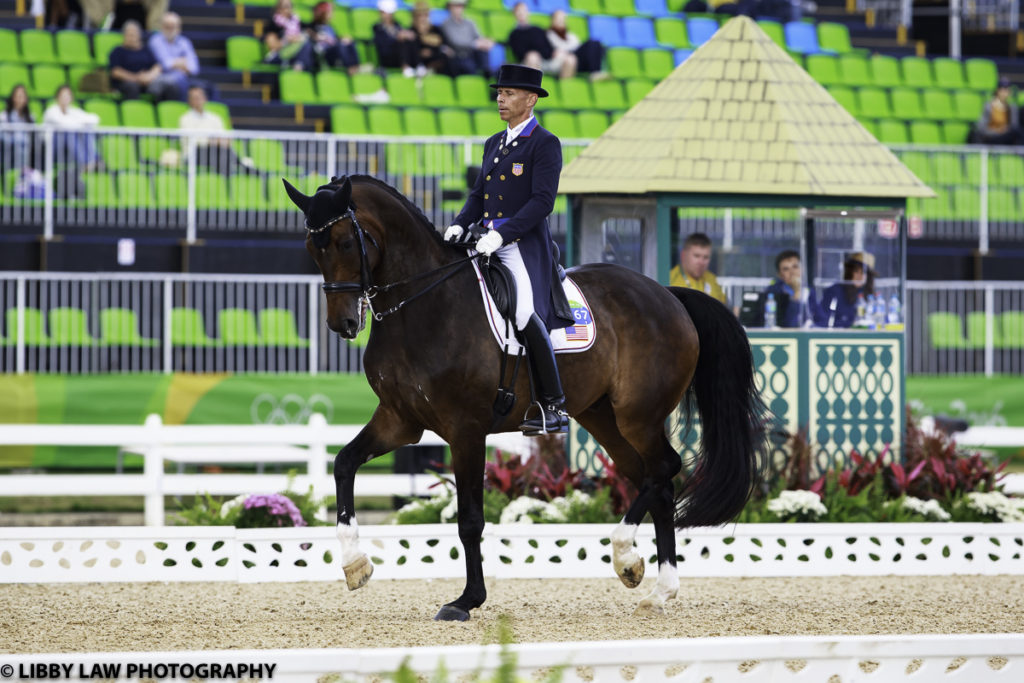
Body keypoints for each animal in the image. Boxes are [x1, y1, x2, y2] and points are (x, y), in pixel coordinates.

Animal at [284, 175, 765, 618]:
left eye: (347, 242)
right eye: (312, 248)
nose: (343, 325)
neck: (423, 306)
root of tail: (669, 295)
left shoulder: (466, 429)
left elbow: (470, 519)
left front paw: (467, 600)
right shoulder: (399, 420)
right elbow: (344, 463)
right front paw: (355, 564)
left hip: (638, 415)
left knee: (665, 468)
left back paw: (625, 554)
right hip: (604, 418)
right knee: (656, 481)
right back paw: (656, 587)